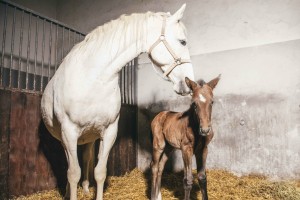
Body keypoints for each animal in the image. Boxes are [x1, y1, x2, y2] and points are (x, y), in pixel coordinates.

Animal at [41, 4, 193, 200]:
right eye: (183, 42)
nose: (189, 82)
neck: (93, 79)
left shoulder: (109, 131)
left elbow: (100, 172)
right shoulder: (69, 131)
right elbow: (73, 173)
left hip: (89, 137)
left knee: (87, 157)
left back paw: (85, 188)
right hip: (64, 138)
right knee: (70, 164)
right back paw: (68, 191)